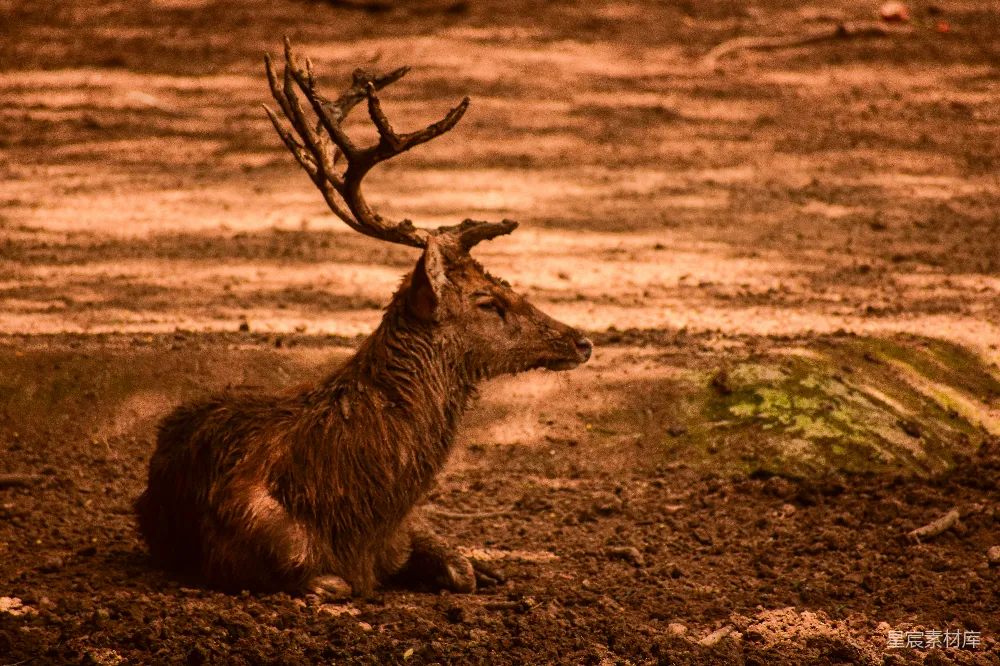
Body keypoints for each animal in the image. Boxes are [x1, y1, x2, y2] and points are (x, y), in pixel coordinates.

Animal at [134, 39, 593, 600]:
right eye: (488, 301)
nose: (581, 341)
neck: (358, 515)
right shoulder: (248, 549)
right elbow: (329, 582)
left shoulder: (405, 531)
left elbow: (458, 568)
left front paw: (481, 568)